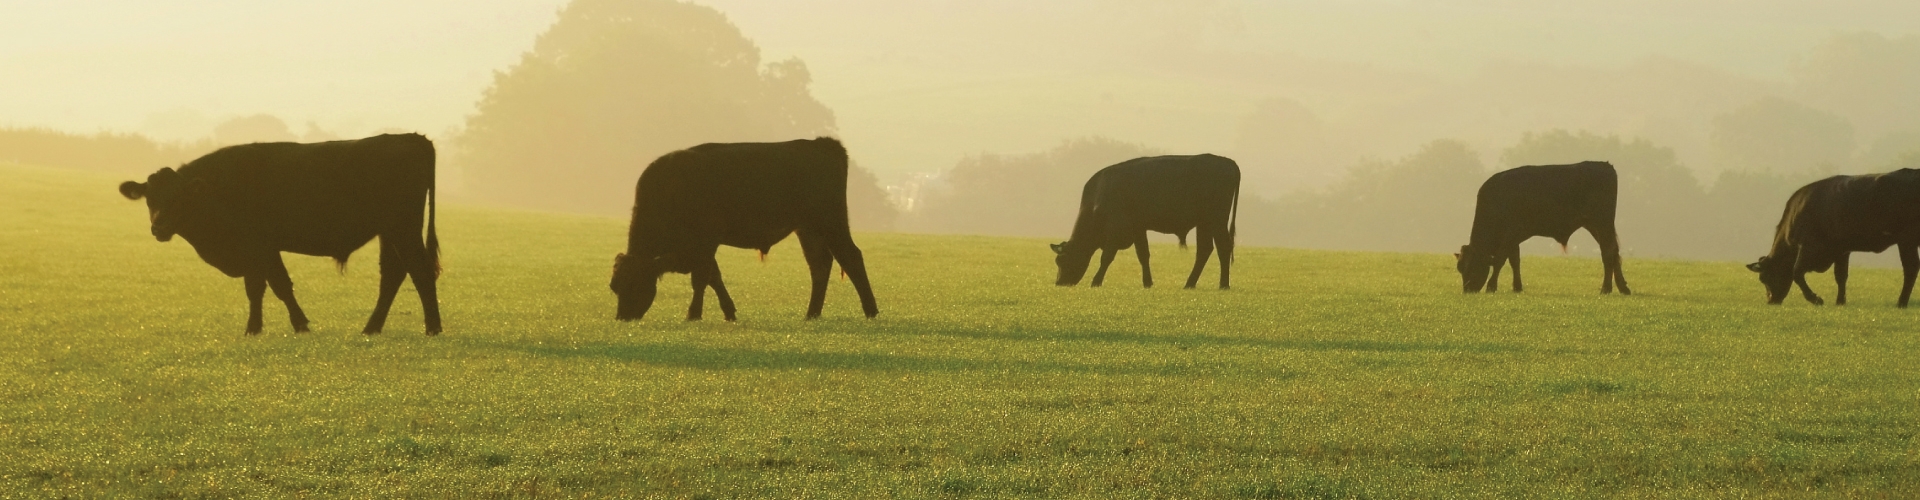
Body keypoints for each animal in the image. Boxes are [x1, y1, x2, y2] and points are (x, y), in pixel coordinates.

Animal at [117, 133, 441, 335]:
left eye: (178, 198)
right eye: (149, 199)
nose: (158, 227)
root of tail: (412, 137)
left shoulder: (256, 246)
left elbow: (268, 287)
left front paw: (270, 327)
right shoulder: (265, 249)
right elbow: (270, 286)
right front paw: (278, 326)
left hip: (404, 228)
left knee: (421, 272)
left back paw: (433, 328)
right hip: (390, 231)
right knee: (393, 274)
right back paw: (371, 328)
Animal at [610, 137, 879, 322]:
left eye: (634, 283)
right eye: (614, 286)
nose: (623, 317)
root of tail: (821, 143)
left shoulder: (706, 242)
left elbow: (701, 278)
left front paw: (693, 314)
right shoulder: (700, 248)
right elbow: (714, 277)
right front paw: (729, 312)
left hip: (831, 222)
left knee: (851, 257)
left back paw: (871, 310)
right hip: (808, 229)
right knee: (820, 265)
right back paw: (811, 313)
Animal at [1051, 154, 1240, 289]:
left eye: (1062, 260)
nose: (1059, 283)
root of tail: (1227, 162)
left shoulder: (1115, 230)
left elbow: (1106, 257)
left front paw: (1096, 281)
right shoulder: (1138, 229)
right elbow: (1143, 255)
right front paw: (1147, 282)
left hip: (1217, 220)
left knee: (1223, 247)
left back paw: (1223, 284)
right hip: (1205, 223)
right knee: (1204, 250)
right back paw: (1190, 283)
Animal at [1455, 161, 1630, 295]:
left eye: (1472, 266)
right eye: (1460, 268)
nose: (1467, 290)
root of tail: (1605, 165)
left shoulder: (1510, 234)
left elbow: (1500, 260)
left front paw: (1491, 286)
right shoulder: (1514, 239)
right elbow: (1514, 261)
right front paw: (1517, 287)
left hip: (1602, 223)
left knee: (1608, 253)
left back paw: (1606, 289)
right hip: (1595, 226)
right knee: (1614, 252)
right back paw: (1623, 288)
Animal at [1746, 169, 1920, 307]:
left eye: (1764, 278)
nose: (1771, 301)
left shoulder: (1807, 245)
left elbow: (1797, 272)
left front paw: (1815, 299)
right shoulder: (1841, 250)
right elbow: (1841, 276)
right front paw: (1840, 302)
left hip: (1907, 240)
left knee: (1910, 269)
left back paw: (1901, 303)